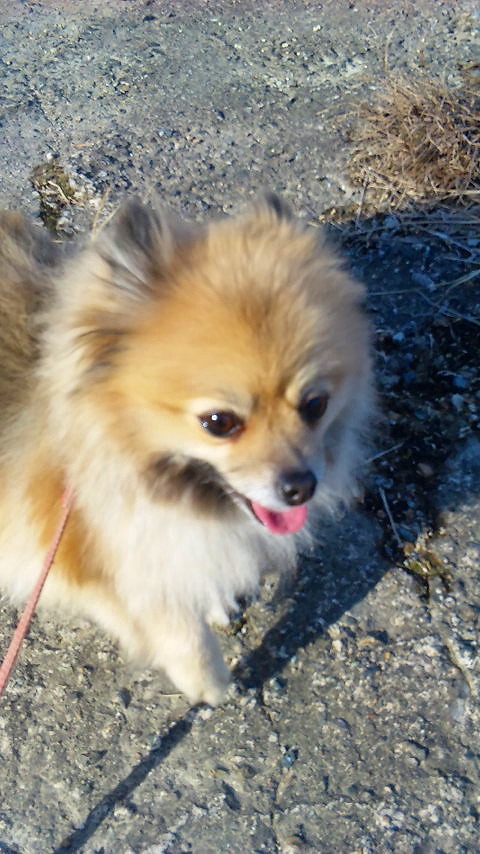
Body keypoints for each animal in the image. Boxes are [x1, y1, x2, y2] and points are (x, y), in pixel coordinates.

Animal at [0, 195, 372, 705]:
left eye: (316, 405)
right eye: (219, 422)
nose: (300, 487)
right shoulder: (88, 560)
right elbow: (180, 630)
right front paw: (211, 685)